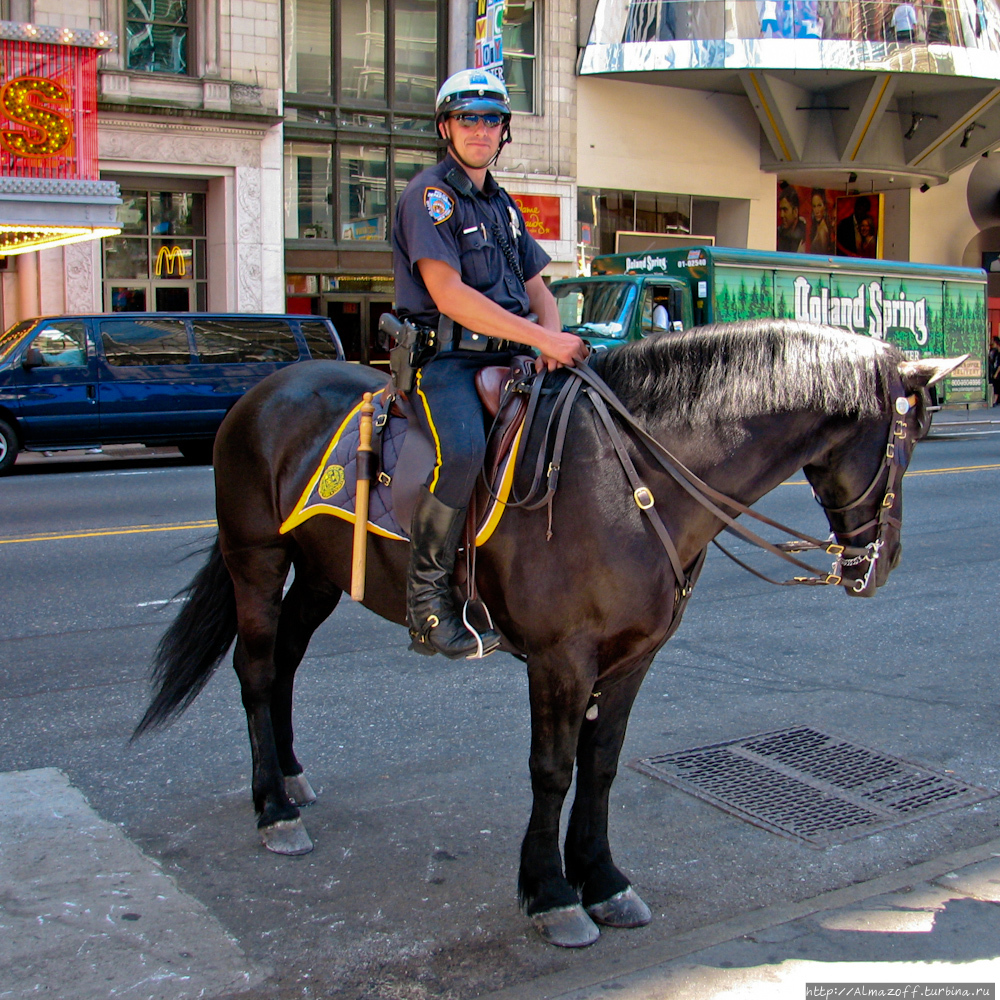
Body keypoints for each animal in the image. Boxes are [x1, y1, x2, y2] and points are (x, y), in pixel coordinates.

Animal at [135, 320, 960, 944]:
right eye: (909, 439)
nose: (879, 564)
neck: (635, 477)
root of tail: (264, 391)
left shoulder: (631, 658)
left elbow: (601, 767)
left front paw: (602, 878)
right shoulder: (561, 660)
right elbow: (553, 770)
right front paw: (550, 893)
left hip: (321, 570)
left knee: (287, 663)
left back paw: (292, 777)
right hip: (255, 558)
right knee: (256, 669)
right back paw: (272, 808)